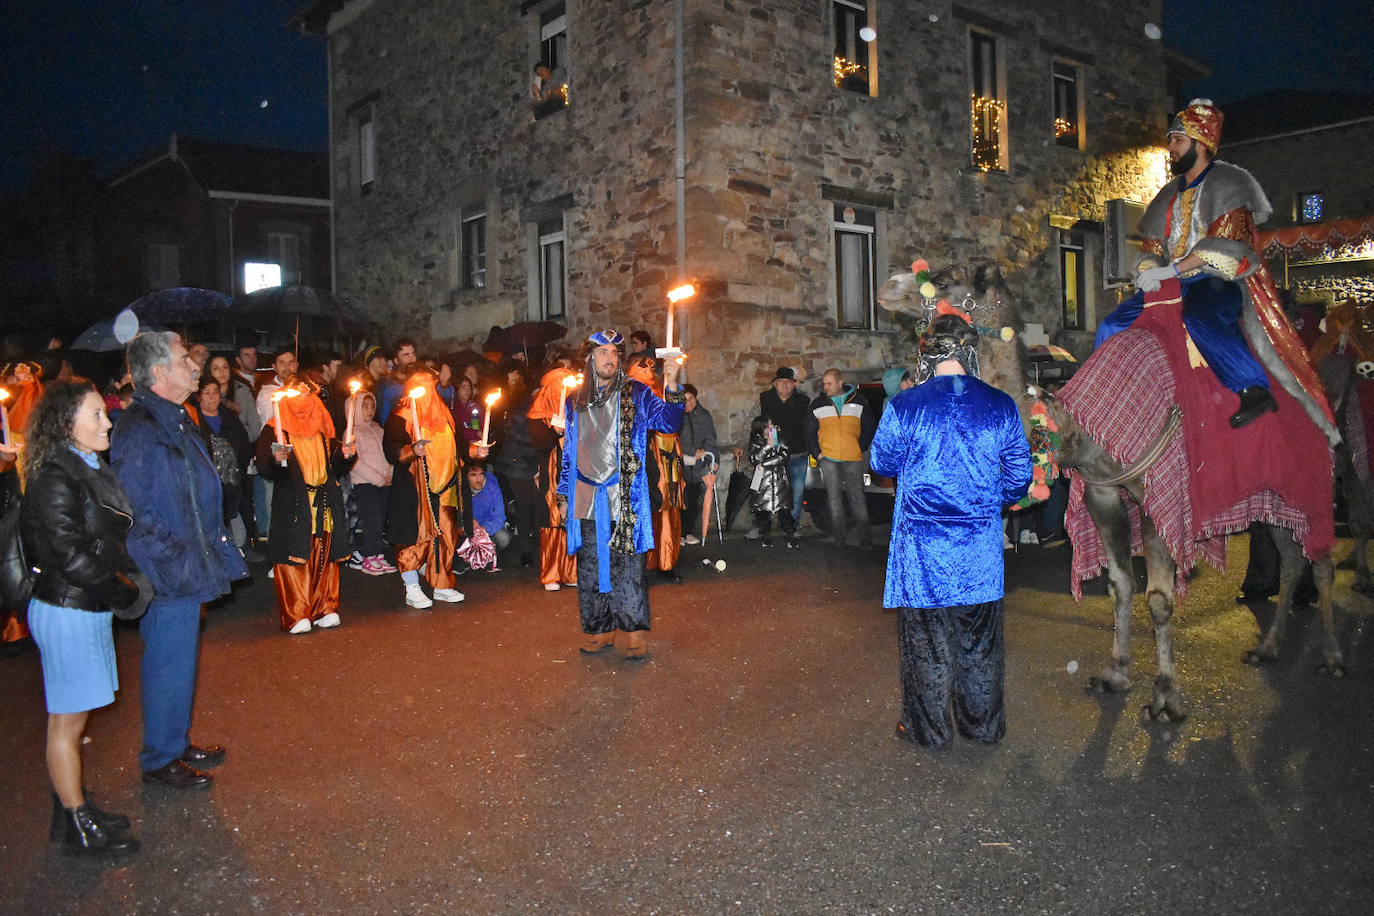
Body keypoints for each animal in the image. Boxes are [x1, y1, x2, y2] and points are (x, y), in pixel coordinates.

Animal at [873, 259, 1346, 725]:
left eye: (945, 279)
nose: (887, 285)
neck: (1081, 430)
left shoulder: (1159, 500)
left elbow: (1160, 599)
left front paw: (1166, 697)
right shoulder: (1101, 495)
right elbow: (1120, 584)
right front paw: (1116, 673)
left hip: (1311, 484)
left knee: (1321, 562)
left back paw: (1331, 657)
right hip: (1274, 498)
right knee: (1291, 560)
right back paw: (1267, 648)